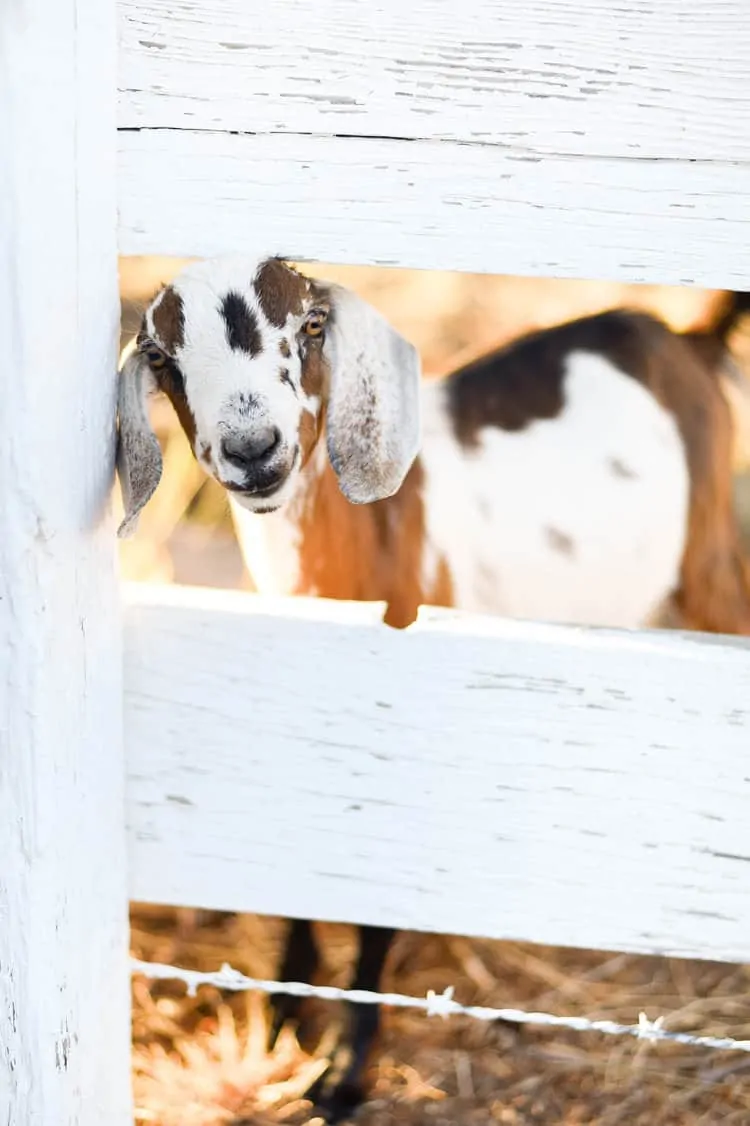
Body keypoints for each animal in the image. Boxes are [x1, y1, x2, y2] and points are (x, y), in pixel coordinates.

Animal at [113, 257, 747, 1126]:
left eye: (310, 327)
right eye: (161, 355)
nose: (253, 449)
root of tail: (686, 336)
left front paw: (343, 1076)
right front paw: (284, 1015)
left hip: (708, 556)